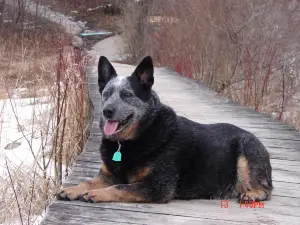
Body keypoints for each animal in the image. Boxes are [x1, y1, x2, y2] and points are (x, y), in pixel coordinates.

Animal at [57, 55, 274, 203]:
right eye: (106, 94)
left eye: (127, 94)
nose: (107, 111)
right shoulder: (108, 174)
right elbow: (89, 181)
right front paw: (73, 188)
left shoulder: (158, 186)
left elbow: (121, 187)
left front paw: (97, 193)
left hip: (247, 151)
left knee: (266, 189)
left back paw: (252, 194)